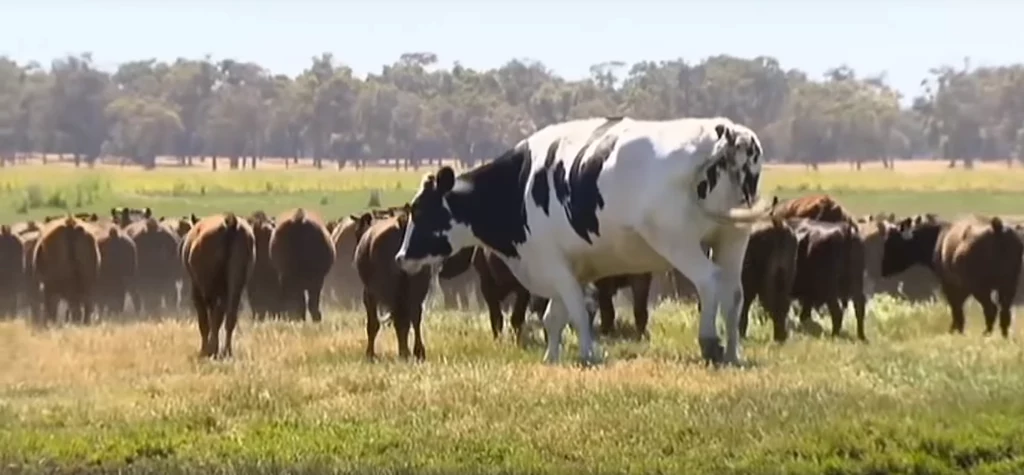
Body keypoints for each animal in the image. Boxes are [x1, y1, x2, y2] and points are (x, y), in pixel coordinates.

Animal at [181, 212, 252, 358]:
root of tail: (230, 222)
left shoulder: (198, 290)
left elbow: (205, 321)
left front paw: (205, 349)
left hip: (210, 289)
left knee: (213, 317)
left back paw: (212, 348)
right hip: (236, 284)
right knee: (229, 317)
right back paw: (226, 351)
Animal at [356, 211, 432, 360]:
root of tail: (401, 222)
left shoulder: (369, 293)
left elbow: (373, 324)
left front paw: (370, 354)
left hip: (390, 288)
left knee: (400, 319)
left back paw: (405, 352)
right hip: (419, 285)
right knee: (415, 316)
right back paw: (417, 352)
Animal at [395, 115, 765, 364]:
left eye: (420, 210)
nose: (401, 257)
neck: (519, 187)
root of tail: (725, 132)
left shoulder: (551, 261)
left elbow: (574, 307)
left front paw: (590, 353)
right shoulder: (572, 266)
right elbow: (554, 316)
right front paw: (552, 358)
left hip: (677, 240)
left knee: (710, 281)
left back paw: (710, 343)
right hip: (732, 237)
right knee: (733, 291)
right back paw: (733, 353)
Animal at [880, 212, 1024, 335]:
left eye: (892, 239)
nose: (882, 269)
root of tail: (997, 227)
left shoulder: (950, 286)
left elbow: (956, 309)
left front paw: (955, 330)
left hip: (981, 288)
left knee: (991, 309)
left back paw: (986, 334)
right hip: (1008, 285)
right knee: (1005, 311)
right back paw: (1003, 335)